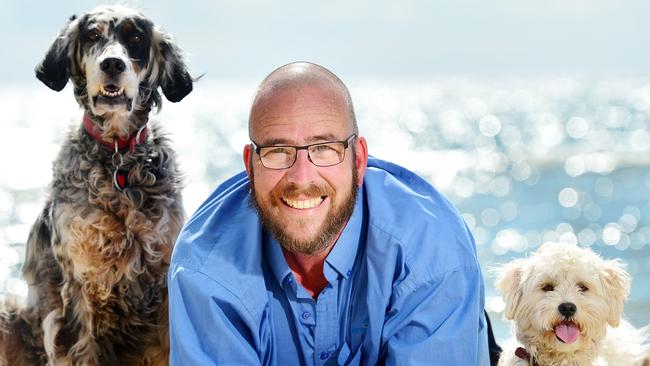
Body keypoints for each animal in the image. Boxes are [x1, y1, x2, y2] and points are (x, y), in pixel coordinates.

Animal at [0, 5, 191, 366]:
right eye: (92, 36)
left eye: (135, 38)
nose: (112, 64)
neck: (119, 157)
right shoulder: (78, 288)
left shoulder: (164, 281)